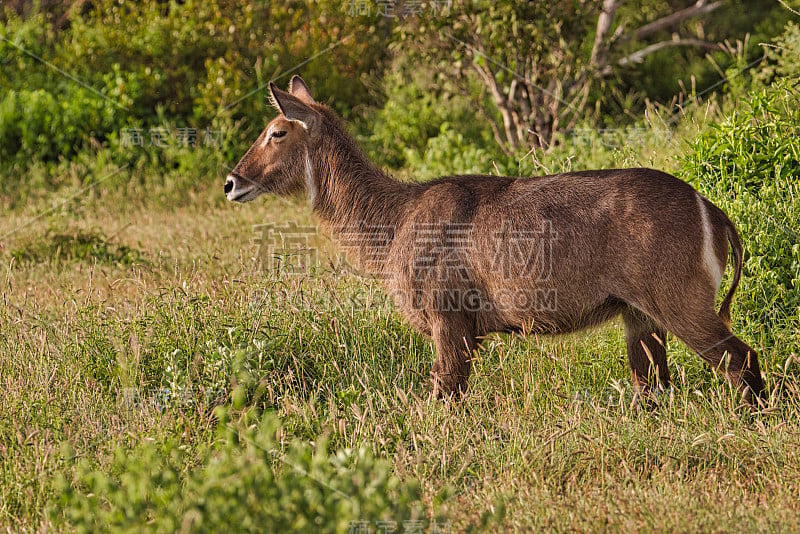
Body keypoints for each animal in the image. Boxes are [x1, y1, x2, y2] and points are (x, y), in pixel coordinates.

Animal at [223, 76, 764, 406]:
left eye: (275, 132)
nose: (231, 182)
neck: (395, 219)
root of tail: (711, 208)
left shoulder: (450, 321)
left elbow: (444, 396)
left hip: (680, 305)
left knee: (742, 358)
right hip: (639, 317)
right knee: (653, 387)